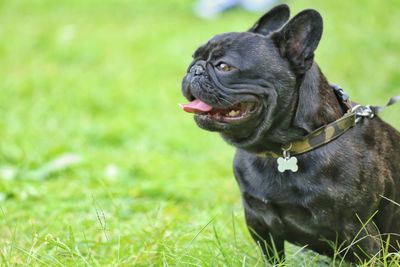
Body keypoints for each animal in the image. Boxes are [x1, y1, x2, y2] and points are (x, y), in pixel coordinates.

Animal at [181, 4, 400, 266]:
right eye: (193, 58)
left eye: (225, 67)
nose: (194, 70)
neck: (282, 149)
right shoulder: (260, 225)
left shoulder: (360, 233)